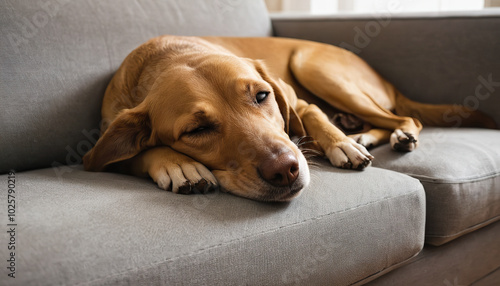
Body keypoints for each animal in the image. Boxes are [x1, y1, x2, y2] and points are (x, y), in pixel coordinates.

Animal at [83, 35, 496, 201]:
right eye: (197, 130)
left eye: (262, 96)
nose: (286, 169)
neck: (168, 55)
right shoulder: (99, 148)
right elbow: (135, 153)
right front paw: (176, 164)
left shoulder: (301, 104)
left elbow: (315, 119)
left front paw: (341, 146)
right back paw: (364, 134)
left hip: (312, 66)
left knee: (405, 117)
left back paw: (382, 137)